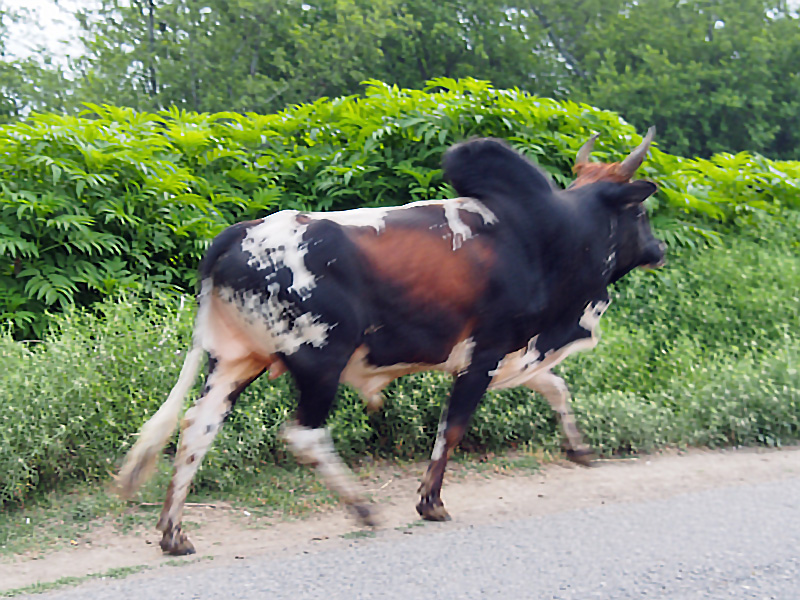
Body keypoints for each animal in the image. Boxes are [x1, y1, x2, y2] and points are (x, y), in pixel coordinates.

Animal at [116, 128, 665, 555]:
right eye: (640, 213)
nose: (658, 250)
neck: (549, 235)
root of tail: (236, 235)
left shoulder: (514, 352)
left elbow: (554, 387)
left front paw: (579, 448)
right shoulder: (484, 353)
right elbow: (453, 428)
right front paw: (430, 502)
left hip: (234, 361)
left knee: (197, 429)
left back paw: (173, 534)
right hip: (320, 360)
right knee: (303, 434)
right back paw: (361, 508)